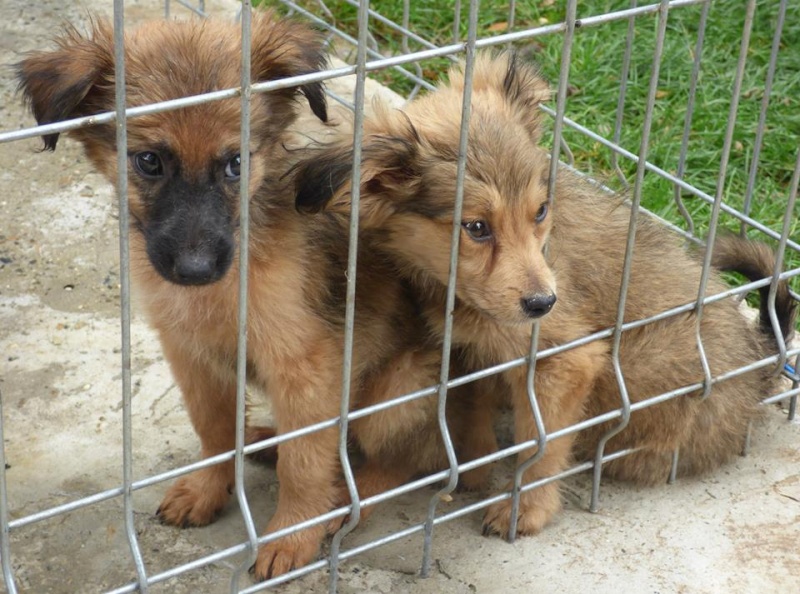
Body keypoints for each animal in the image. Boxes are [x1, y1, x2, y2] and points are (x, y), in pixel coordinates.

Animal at [15, 15, 460, 580]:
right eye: (148, 161)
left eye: (236, 163)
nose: (195, 269)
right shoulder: (192, 355)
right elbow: (214, 432)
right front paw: (210, 490)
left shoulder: (304, 364)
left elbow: (305, 460)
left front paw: (292, 534)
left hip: (400, 389)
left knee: (404, 460)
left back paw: (345, 500)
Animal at [290, 52, 796, 536]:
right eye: (476, 228)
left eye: (540, 211)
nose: (543, 304)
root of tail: (761, 371)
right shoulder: (478, 351)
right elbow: (478, 408)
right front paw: (476, 464)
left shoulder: (566, 358)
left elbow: (541, 445)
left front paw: (525, 510)